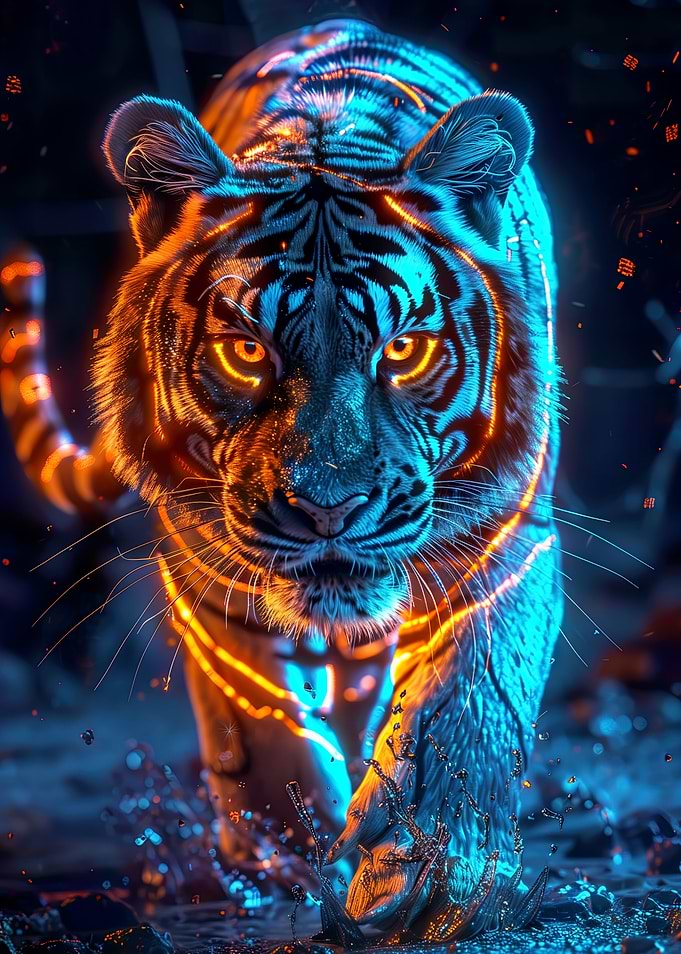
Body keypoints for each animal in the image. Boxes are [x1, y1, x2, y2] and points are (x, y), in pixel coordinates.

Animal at [0, 7, 561, 938]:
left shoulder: (510, 532)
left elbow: (471, 691)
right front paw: (289, 847)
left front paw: (429, 872)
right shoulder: (204, 562)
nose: (328, 510)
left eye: (402, 351)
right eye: (245, 351)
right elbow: (257, 724)